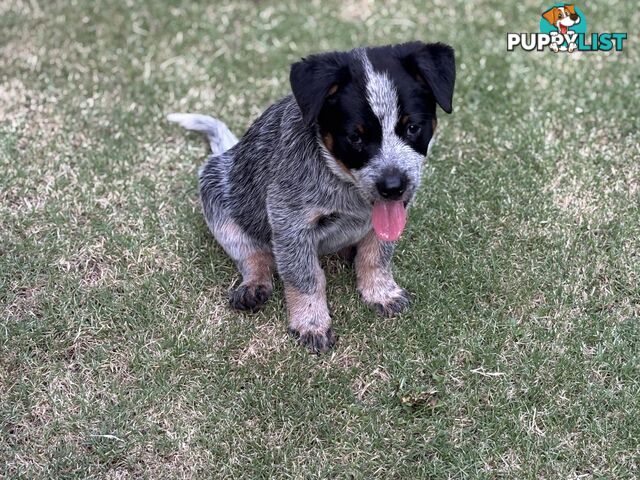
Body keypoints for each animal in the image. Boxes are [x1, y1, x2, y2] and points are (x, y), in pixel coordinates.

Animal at [166, 42, 456, 352]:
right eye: (355, 137)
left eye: (412, 127)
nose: (393, 186)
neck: (347, 188)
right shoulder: (290, 223)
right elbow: (306, 277)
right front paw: (311, 323)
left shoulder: (392, 212)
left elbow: (376, 255)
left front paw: (381, 292)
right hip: (215, 191)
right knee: (253, 254)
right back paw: (254, 285)